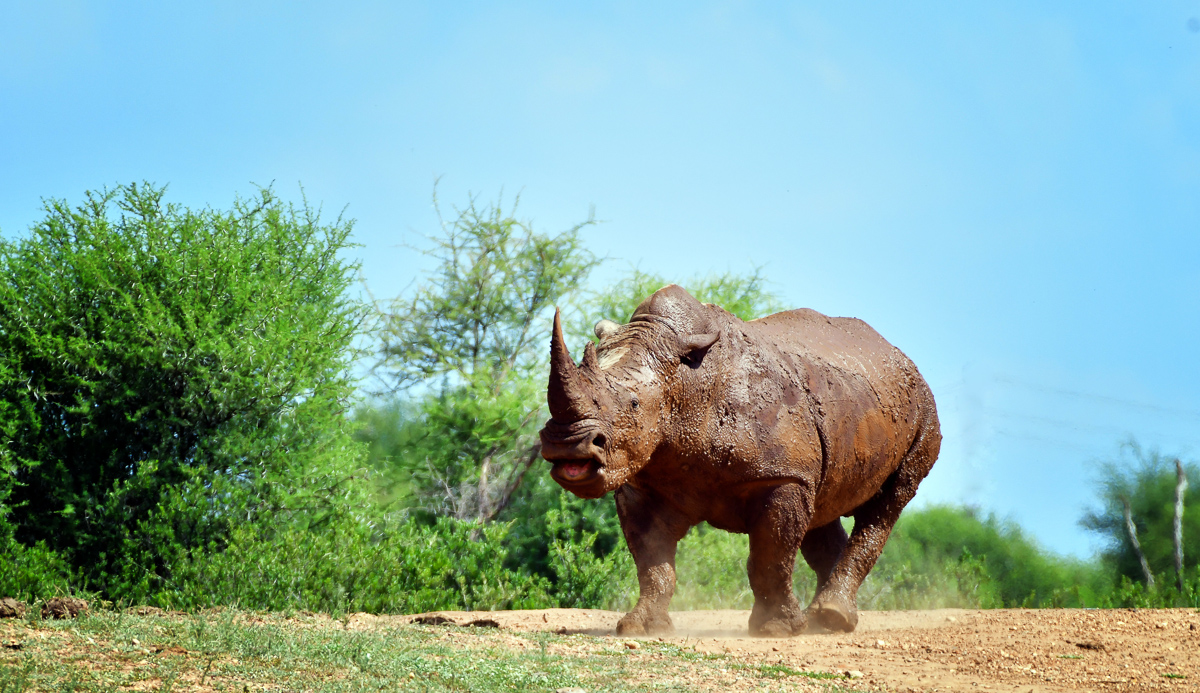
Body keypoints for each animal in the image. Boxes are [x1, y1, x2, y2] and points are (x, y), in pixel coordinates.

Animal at [539, 285, 940, 636]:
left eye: (634, 404)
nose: (566, 445)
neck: (687, 384)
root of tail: (897, 354)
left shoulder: (779, 477)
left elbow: (769, 557)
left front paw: (775, 630)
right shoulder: (643, 483)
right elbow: (653, 562)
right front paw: (641, 627)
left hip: (923, 408)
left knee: (889, 501)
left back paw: (830, 617)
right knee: (821, 506)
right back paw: (826, 621)